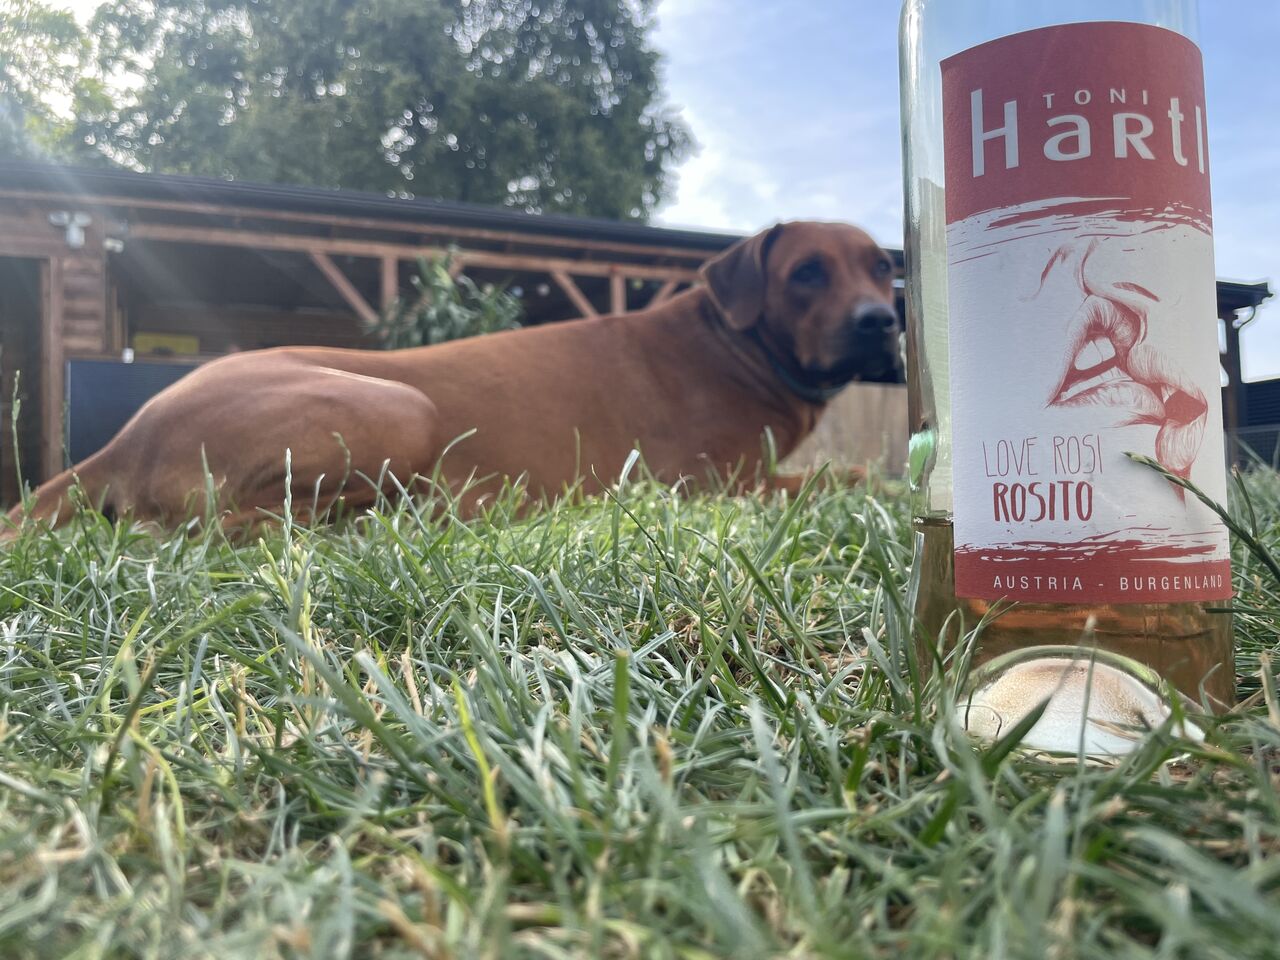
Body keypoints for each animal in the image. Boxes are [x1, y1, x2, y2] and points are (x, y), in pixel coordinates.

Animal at [6, 221, 899, 533]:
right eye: (808, 272)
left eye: (884, 268)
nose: (884, 322)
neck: (733, 345)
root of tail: (121, 441)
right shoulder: (717, 482)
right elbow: (854, 473)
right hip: (402, 404)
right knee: (231, 522)